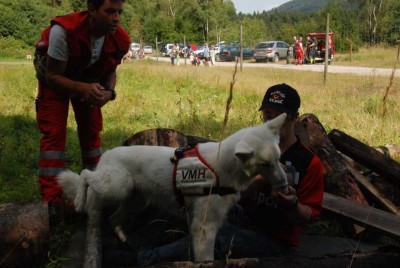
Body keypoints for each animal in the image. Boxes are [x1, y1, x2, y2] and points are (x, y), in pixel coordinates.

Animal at [57, 114, 288, 262]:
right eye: (265, 164)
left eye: (278, 159)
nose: (285, 185)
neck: (221, 166)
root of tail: (107, 153)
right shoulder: (204, 227)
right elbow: (207, 260)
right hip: (116, 187)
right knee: (85, 175)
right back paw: (79, 200)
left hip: (136, 202)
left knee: (114, 218)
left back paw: (124, 241)